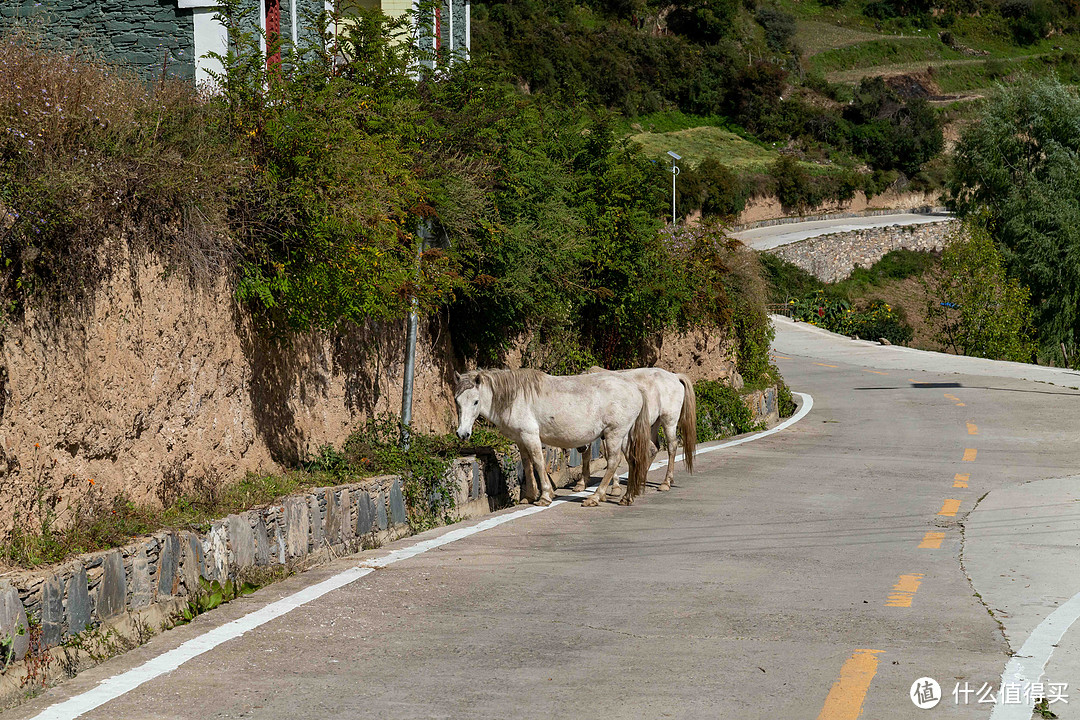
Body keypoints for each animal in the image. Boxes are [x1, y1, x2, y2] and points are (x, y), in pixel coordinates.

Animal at [453, 371, 652, 507]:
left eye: (476, 401)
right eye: (457, 401)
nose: (463, 434)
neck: (515, 398)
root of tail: (635, 388)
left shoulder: (530, 436)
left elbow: (538, 462)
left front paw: (545, 496)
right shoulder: (520, 439)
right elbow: (527, 465)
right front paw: (529, 496)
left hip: (614, 434)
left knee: (613, 462)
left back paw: (595, 497)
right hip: (623, 436)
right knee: (632, 460)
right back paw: (627, 497)